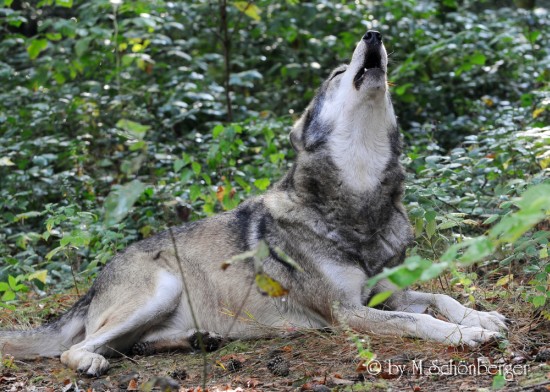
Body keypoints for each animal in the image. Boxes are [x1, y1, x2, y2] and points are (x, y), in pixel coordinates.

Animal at [0, 29, 508, 374]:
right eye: (337, 74)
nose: (373, 35)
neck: (359, 203)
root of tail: (92, 286)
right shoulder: (348, 312)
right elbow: (418, 321)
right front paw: (469, 333)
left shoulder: (388, 289)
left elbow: (441, 295)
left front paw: (482, 315)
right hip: (159, 292)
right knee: (77, 348)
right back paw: (91, 362)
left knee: (127, 344)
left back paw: (196, 342)